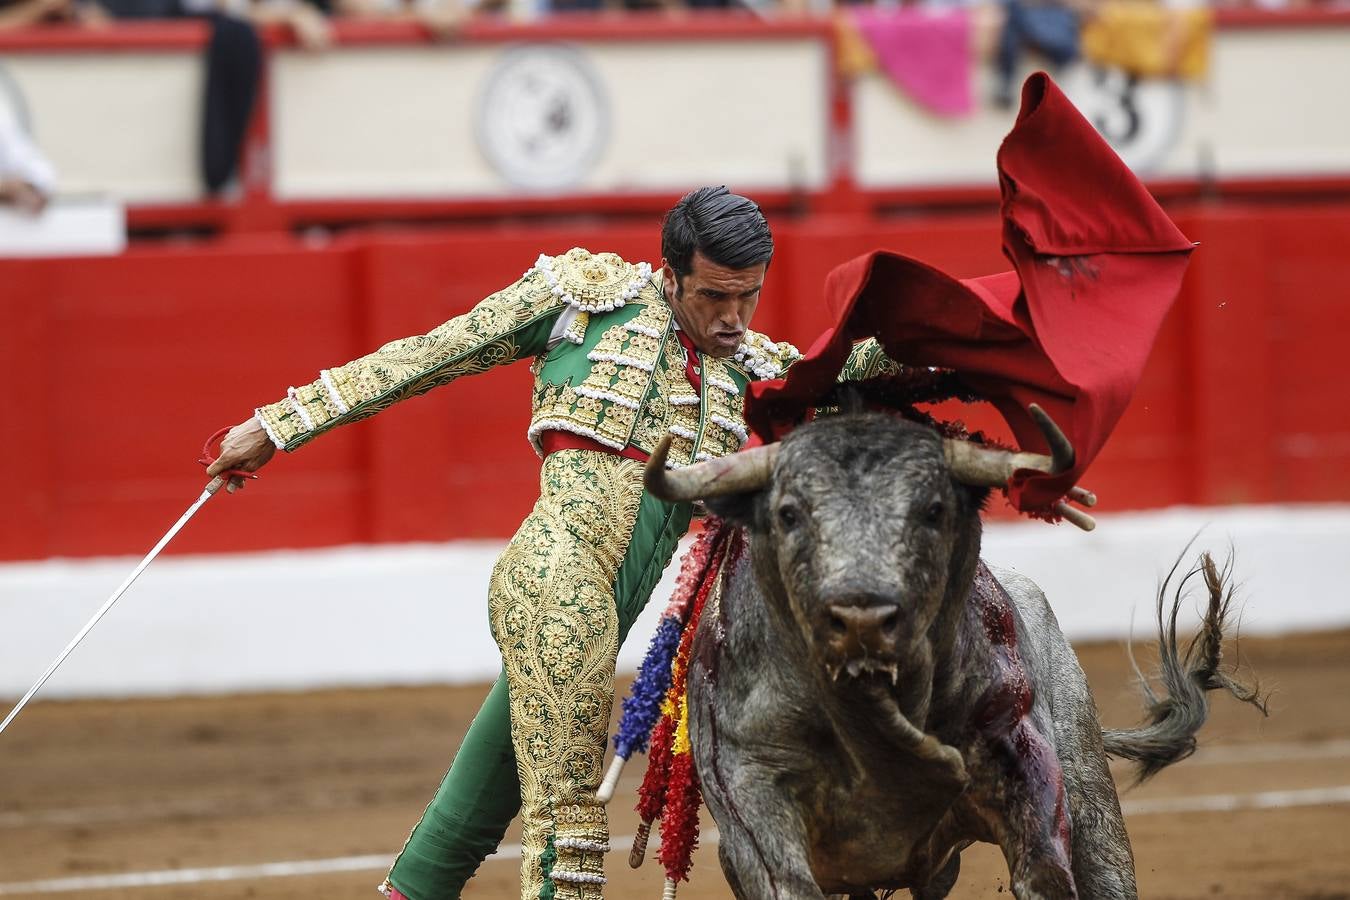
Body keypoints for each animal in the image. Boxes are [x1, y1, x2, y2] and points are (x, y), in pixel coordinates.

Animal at [648, 410, 1258, 900]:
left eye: (933, 510)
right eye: (790, 513)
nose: (863, 617)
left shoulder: (1020, 758)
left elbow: (1044, 875)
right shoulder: (751, 795)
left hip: (1091, 800)